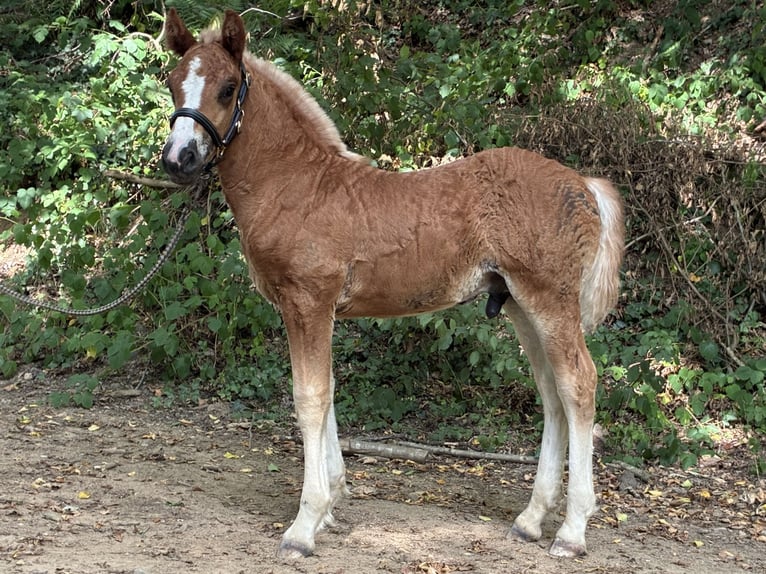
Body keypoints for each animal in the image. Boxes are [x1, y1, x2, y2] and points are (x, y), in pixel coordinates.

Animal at [161, 8, 624, 561]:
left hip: (551, 301)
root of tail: (584, 185)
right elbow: (329, 393)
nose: (178, 159)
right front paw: (333, 505)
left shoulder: (307, 302)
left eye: (228, 88)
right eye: (171, 83)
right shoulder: (314, 310)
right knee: (552, 394)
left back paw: (571, 531)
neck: (298, 185)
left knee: (578, 386)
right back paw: (531, 520)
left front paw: (304, 525)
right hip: (519, 305)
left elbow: (309, 398)